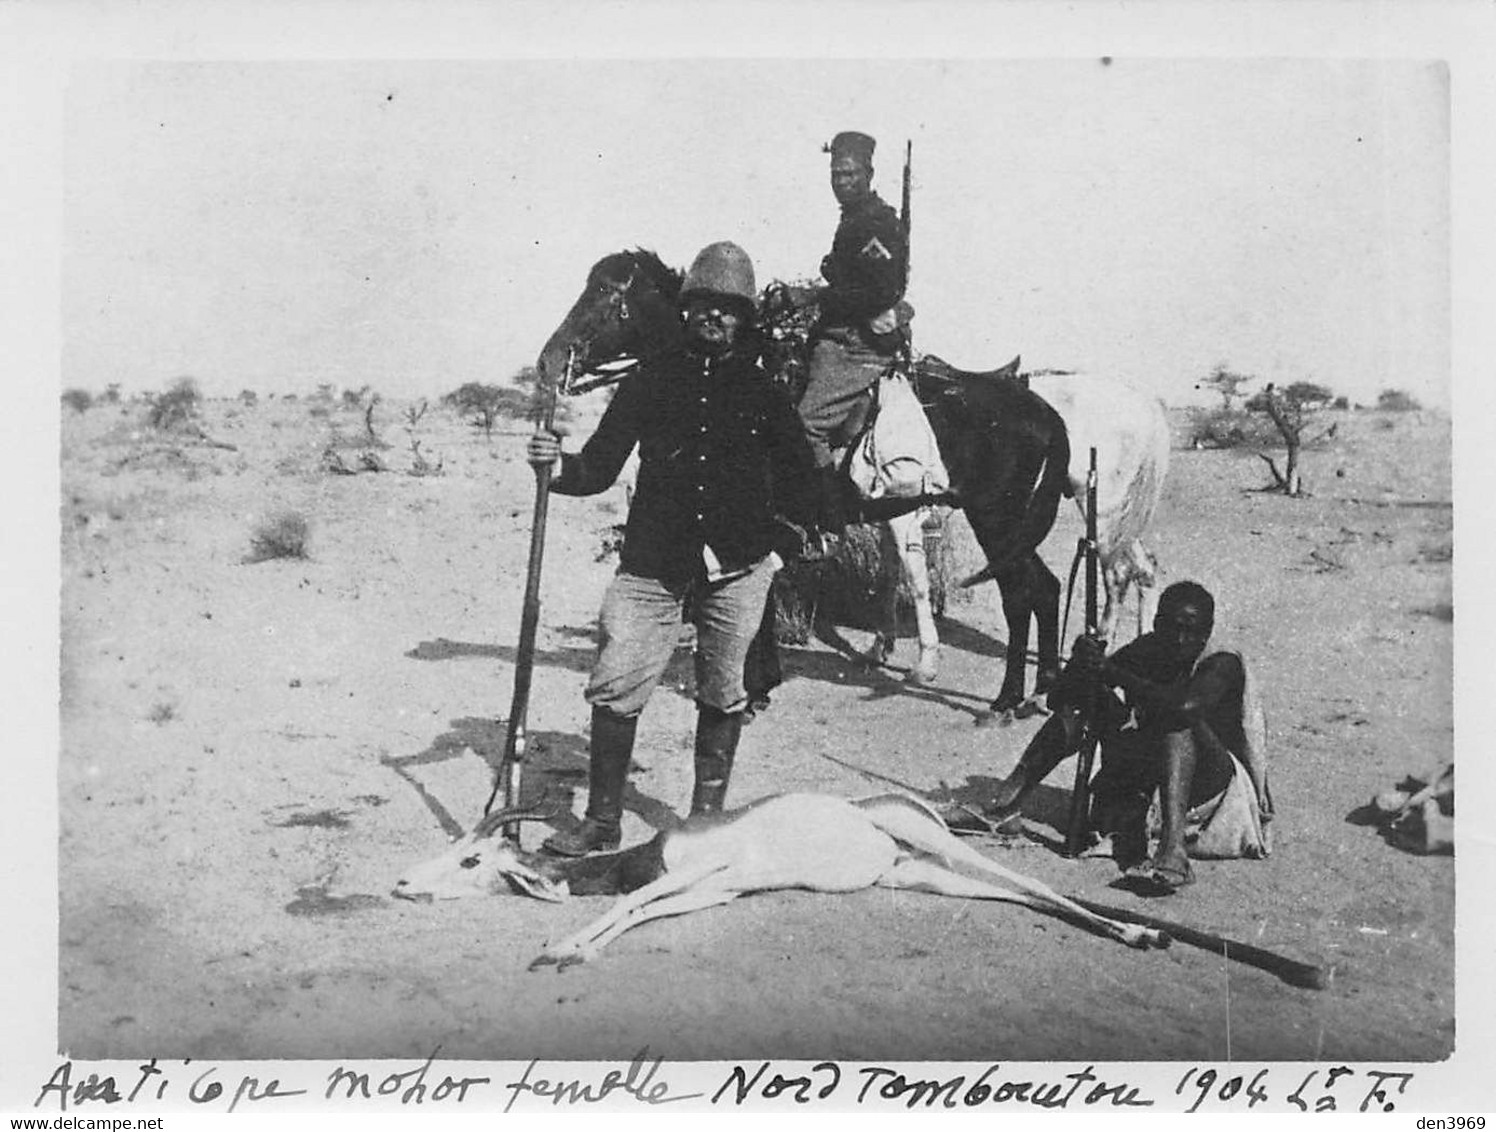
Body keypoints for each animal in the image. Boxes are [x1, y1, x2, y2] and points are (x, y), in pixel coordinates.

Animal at [538, 248, 1077, 711]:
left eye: (603, 292)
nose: (548, 363)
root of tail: (1040, 409)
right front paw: (761, 680)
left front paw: (757, 687)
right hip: (1011, 523)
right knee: (1045, 588)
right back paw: (1040, 691)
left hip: (997, 517)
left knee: (1020, 595)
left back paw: (1005, 699)